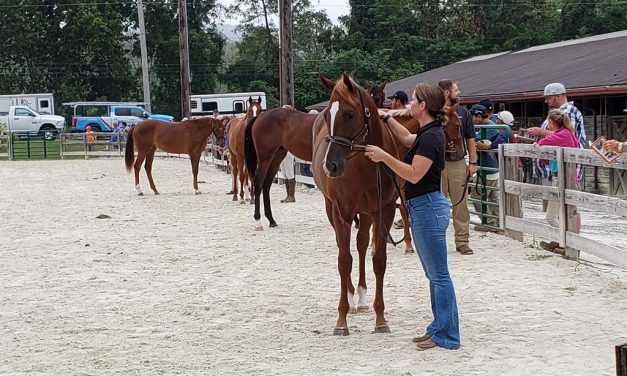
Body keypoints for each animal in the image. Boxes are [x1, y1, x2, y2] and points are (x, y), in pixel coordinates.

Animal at [312, 73, 400, 334]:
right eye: (328, 114)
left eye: (349, 114)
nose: (330, 166)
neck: (363, 165)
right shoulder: (342, 211)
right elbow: (344, 261)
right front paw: (341, 320)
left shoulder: (383, 210)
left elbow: (378, 260)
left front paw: (380, 318)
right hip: (332, 209)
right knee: (346, 248)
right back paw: (352, 299)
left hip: (368, 213)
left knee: (361, 244)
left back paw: (361, 297)